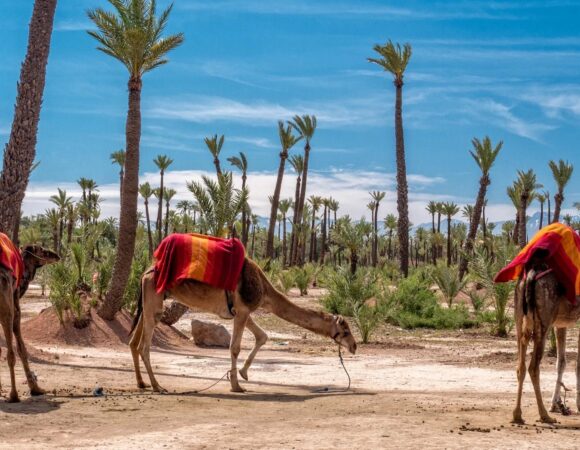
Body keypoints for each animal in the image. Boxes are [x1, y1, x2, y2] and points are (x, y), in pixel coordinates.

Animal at [0, 244, 59, 402]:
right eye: (42, 250)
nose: (56, 255)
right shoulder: (15, 307)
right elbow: (21, 349)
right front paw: (35, 389)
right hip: (7, 308)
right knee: (11, 353)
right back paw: (14, 395)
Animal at [130, 258, 358, 392]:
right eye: (346, 330)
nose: (354, 346)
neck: (265, 290)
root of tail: (145, 272)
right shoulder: (242, 309)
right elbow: (235, 347)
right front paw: (236, 385)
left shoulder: (243, 311)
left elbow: (262, 336)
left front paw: (243, 373)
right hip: (154, 301)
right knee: (144, 345)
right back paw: (157, 386)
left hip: (149, 301)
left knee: (133, 342)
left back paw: (141, 383)